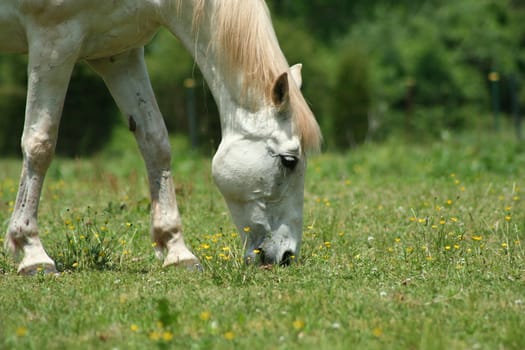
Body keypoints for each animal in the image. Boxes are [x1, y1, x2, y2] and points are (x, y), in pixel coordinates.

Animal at [0, 0, 322, 274]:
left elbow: (155, 142)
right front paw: (31, 252)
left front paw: (176, 250)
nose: (286, 256)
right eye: (289, 161)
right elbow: (40, 144)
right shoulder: (53, 42)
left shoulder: (119, 55)